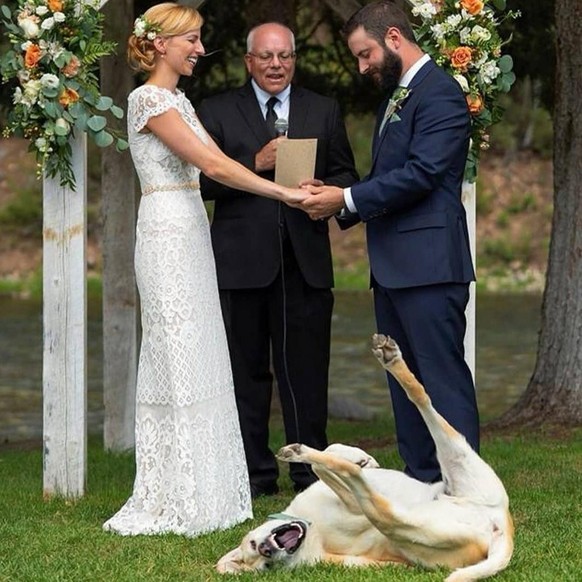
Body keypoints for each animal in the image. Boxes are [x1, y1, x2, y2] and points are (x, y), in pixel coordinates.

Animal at [219, 336, 516, 580]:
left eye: (254, 545)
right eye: (266, 565)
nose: (267, 550)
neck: (311, 528)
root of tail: (499, 528)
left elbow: (326, 458)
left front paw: (361, 458)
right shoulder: (352, 508)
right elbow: (338, 472)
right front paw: (350, 461)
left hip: (460, 460)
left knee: (421, 398)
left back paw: (390, 359)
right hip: (410, 520)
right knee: (374, 500)